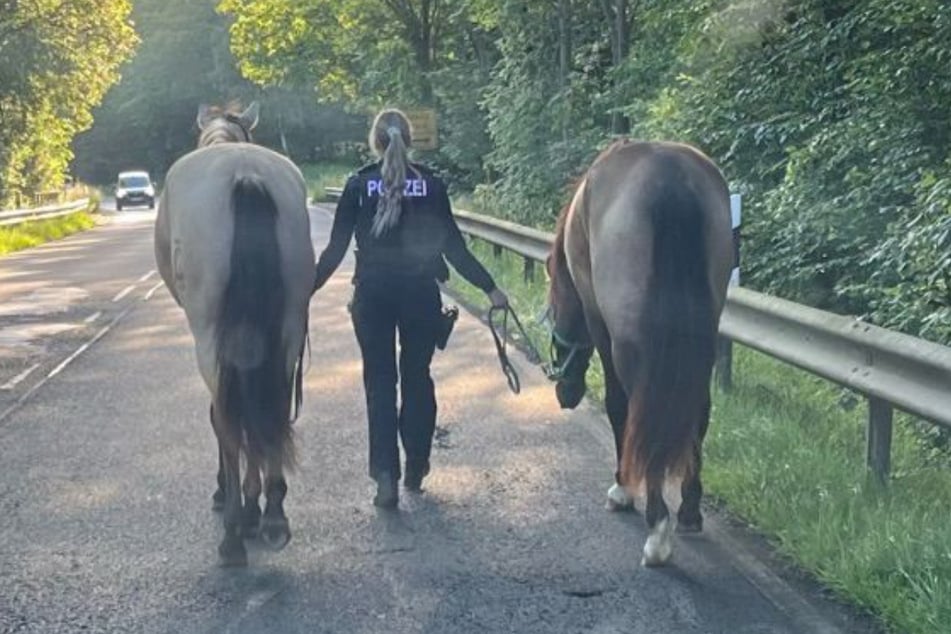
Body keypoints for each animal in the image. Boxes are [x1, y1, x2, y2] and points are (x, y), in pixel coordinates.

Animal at [154, 101, 314, 564]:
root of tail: (245, 174)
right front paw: (255, 503)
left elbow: (221, 417)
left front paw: (235, 499)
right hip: (288, 329)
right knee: (272, 405)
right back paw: (274, 515)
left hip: (210, 338)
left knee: (227, 419)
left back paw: (232, 534)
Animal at [548, 138, 732, 564]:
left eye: (554, 304)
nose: (565, 392)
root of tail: (671, 180)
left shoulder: (599, 324)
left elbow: (617, 405)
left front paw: (622, 490)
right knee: (696, 409)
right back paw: (688, 512)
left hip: (628, 342)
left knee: (641, 411)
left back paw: (657, 527)